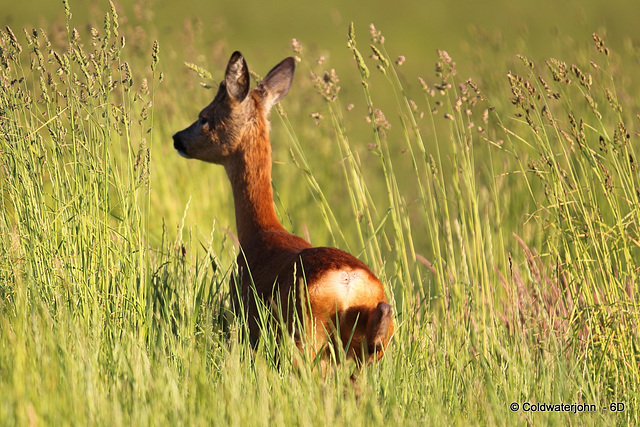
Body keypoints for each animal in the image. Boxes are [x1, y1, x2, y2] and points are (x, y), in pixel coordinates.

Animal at [172, 50, 392, 364]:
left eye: (204, 117)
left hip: (305, 334)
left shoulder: (245, 315)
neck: (262, 231)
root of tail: (349, 284)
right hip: (368, 349)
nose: (177, 138)